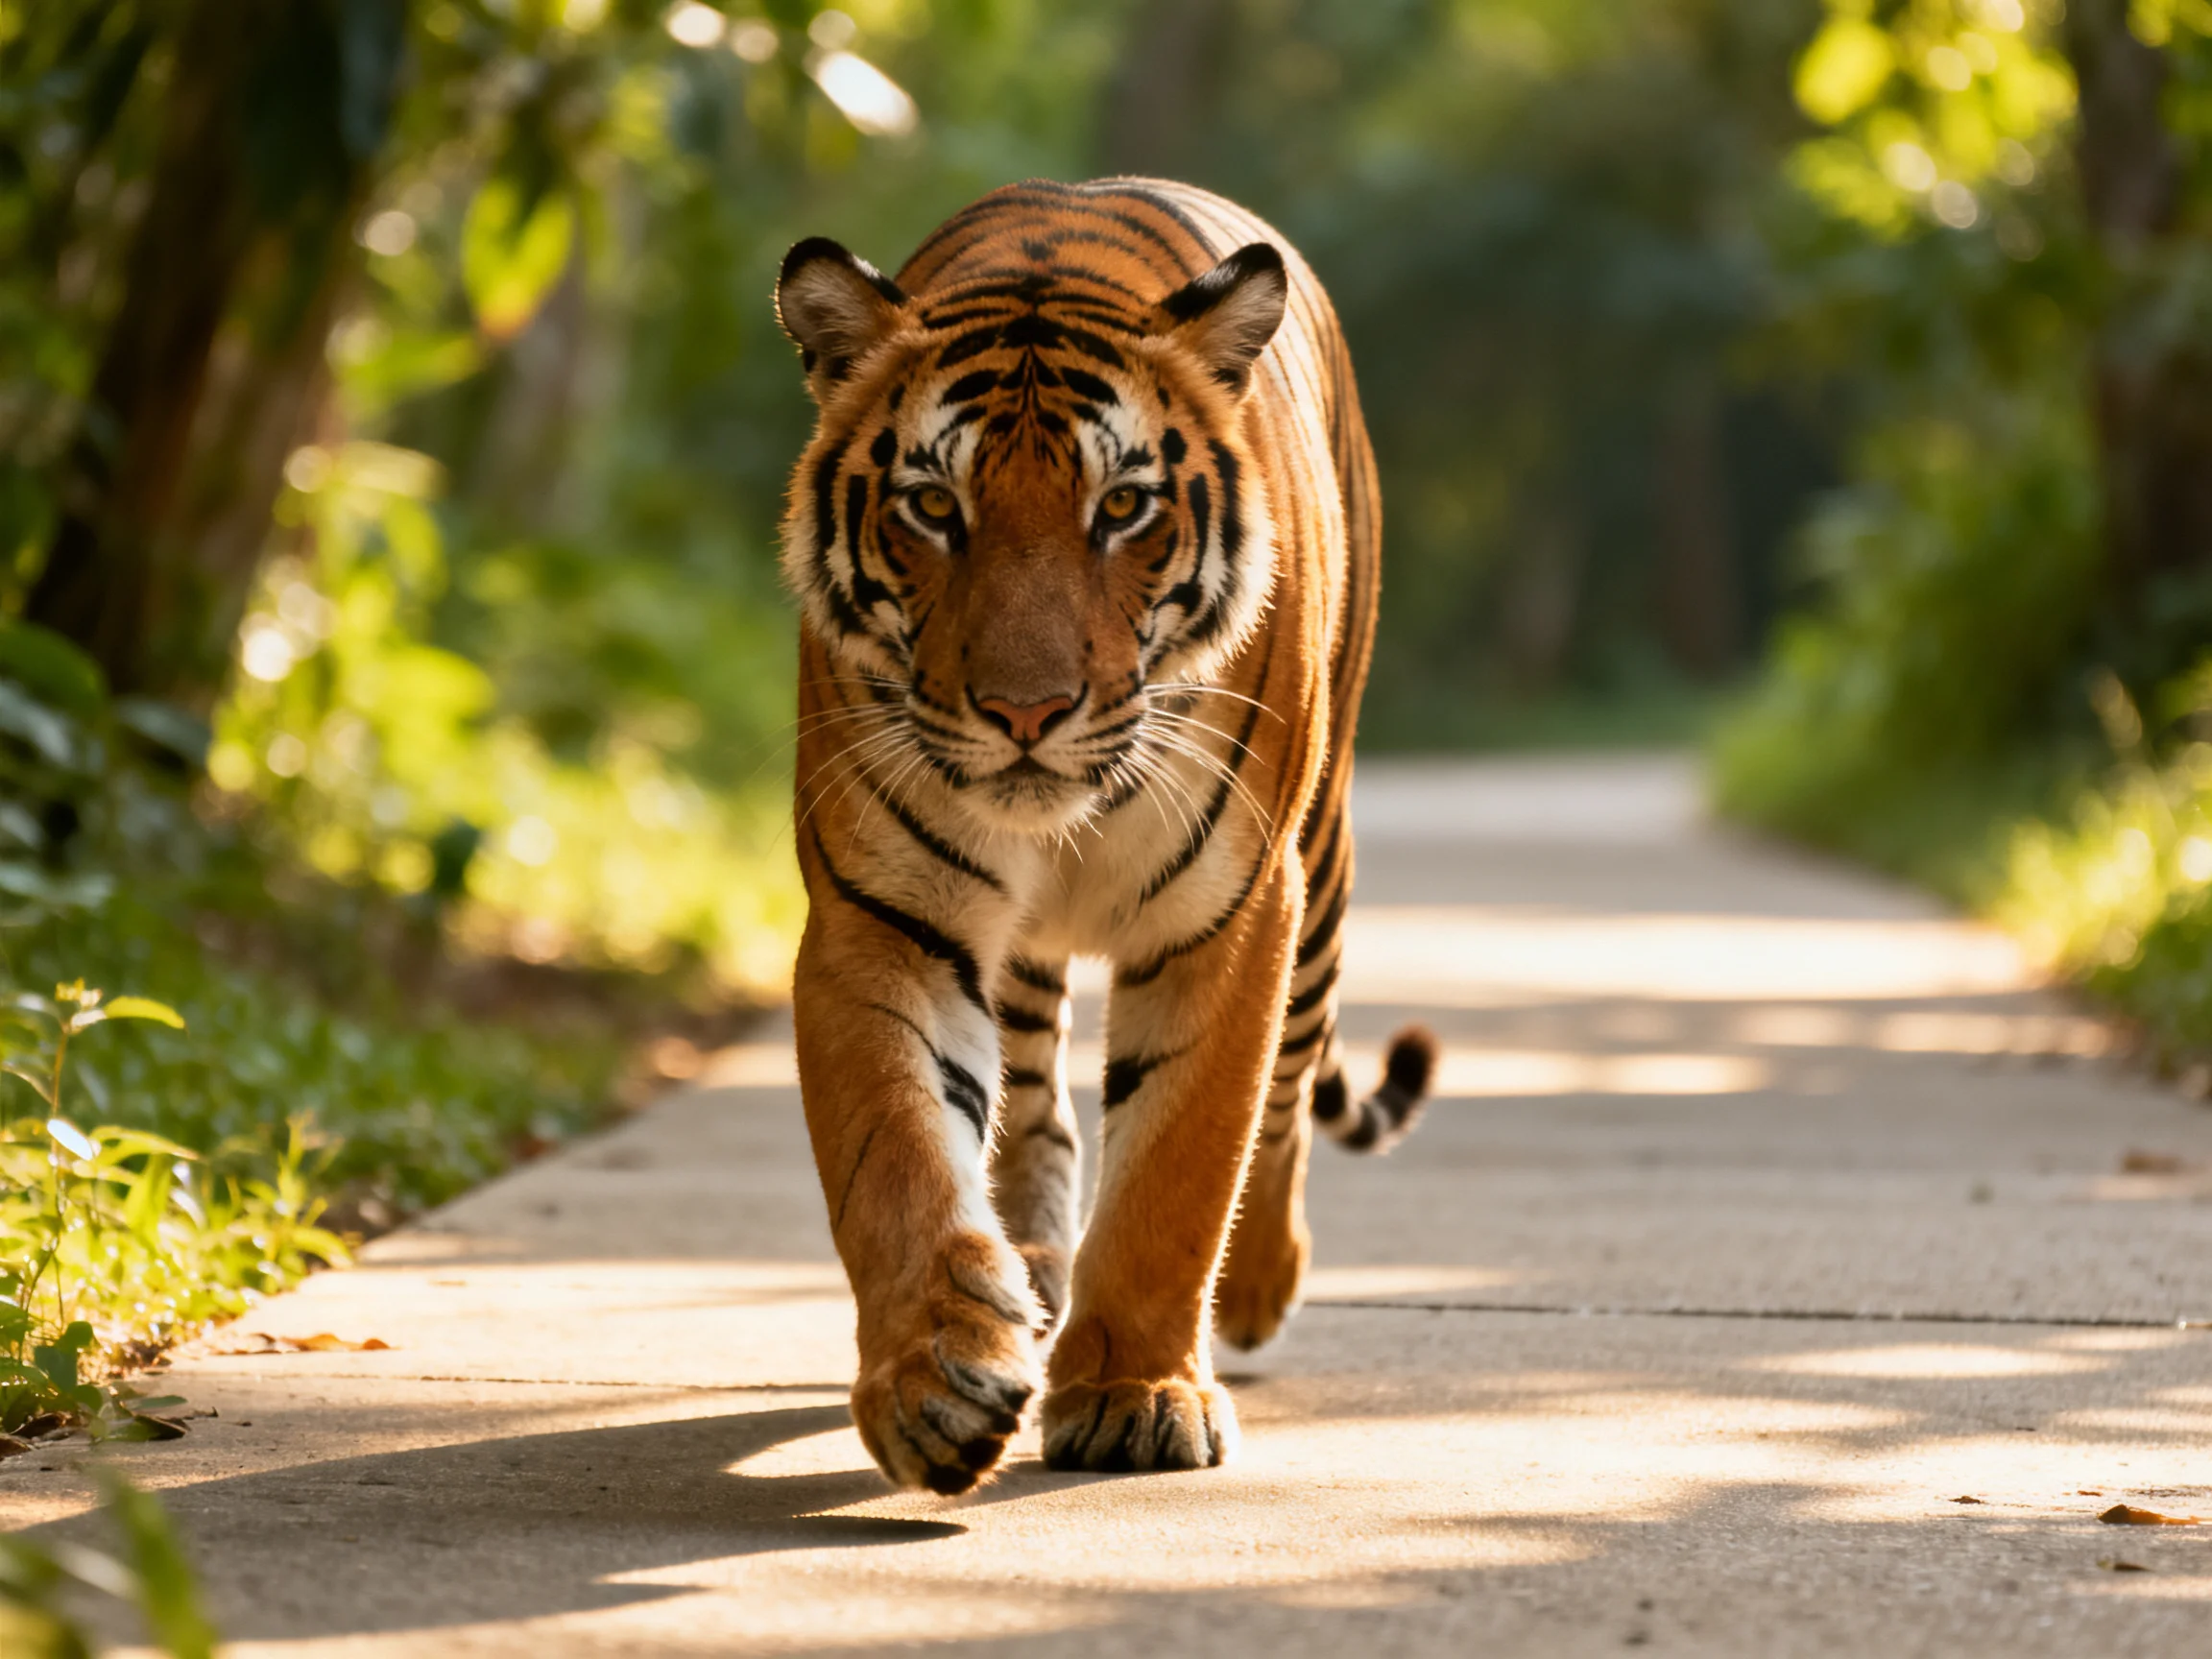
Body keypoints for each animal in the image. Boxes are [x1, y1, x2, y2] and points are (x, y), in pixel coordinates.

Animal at [775, 177, 1434, 1494]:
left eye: (1122, 507)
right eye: (935, 506)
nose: (1026, 712)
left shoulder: (1228, 915)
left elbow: (1184, 1163)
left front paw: (1135, 1393)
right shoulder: (882, 920)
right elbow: (899, 1155)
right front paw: (937, 1379)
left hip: (1322, 880)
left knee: (1290, 1091)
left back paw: (1257, 1288)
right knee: (1033, 1101)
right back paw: (1027, 1277)